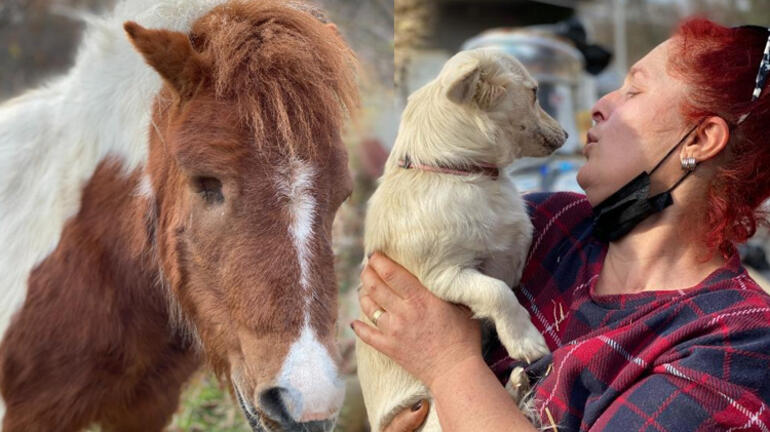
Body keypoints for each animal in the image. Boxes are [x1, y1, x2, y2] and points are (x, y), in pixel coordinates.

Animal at [354, 48, 564, 432]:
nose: (569, 133)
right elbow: (497, 293)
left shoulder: (510, 253)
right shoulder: (445, 276)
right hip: (435, 414)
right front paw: (525, 340)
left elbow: (515, 247)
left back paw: (515, 385)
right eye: (535, 93)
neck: (459, 172)